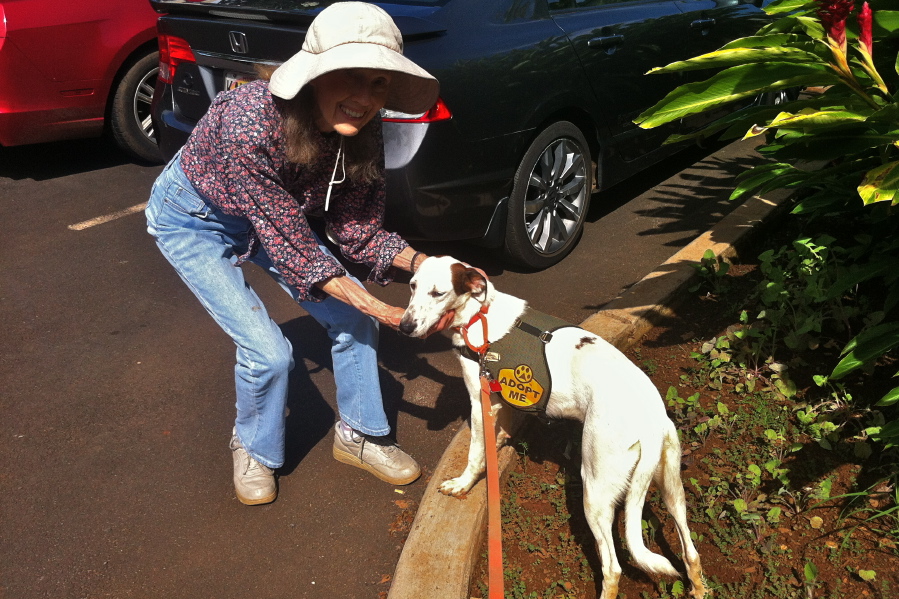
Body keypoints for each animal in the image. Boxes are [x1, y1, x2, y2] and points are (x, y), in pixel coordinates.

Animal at [400, 256, 704, 599]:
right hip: (671, 487)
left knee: (612, 568)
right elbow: (500, 432)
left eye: (438, 292)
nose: (404, 326)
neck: (481, 314)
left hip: (595, 491)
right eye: (412, 286)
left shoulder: (479, 400)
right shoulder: (499, 399)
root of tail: (649, 422)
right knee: (691, 552)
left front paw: (463, 484)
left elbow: (476, 454)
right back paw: (698, 589)